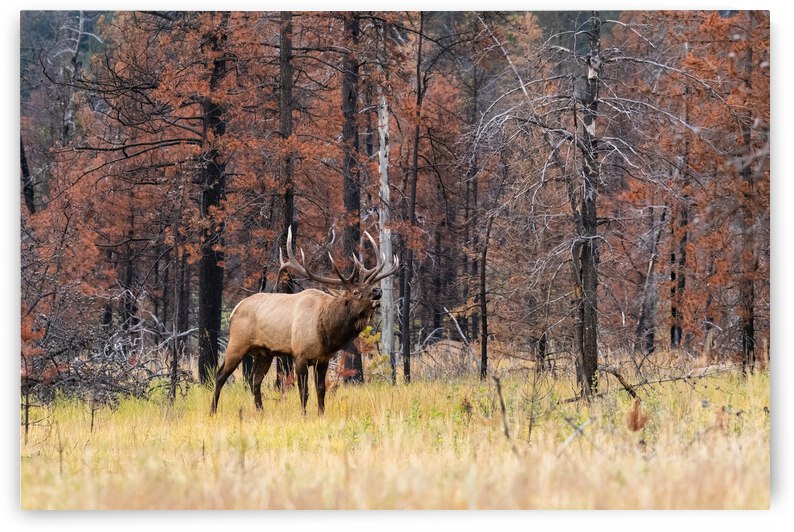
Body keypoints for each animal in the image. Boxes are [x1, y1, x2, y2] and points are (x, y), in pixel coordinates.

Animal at [210, 227, 399, 416]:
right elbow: (304, 391)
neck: (326, 333)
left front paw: (321, 414)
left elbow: (321, 390)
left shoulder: (323, 359)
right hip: (237, 343)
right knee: (221, 375)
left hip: (265, 352)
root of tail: (234, 310)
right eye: (356, 291)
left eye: (369, 286)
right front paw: (304, 415)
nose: (377, 290)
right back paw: (213, 410)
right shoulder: (300, 355)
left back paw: (261, 412)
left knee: (254, 380)